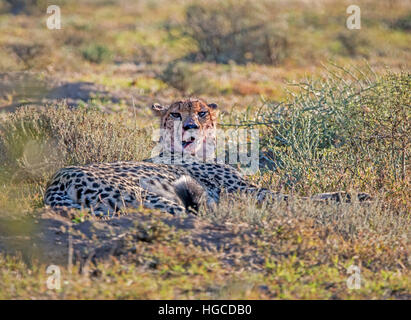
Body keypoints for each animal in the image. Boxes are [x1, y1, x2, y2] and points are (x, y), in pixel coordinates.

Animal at [44, 98, 370, 218]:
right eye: (176, 114)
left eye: (201, 113)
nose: (191, 126)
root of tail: (57, 180)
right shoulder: (247, 191)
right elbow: (293, 197)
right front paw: (353, 198)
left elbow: (305, 194)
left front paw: (353, 195)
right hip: (144, 196)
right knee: (194, 213)